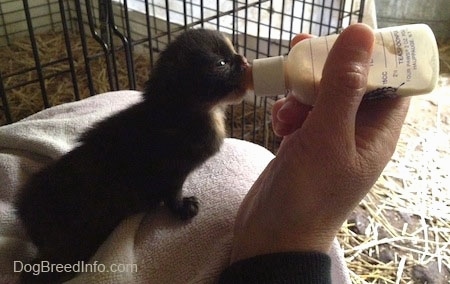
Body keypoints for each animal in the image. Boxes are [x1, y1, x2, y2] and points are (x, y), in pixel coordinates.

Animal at [16, 28, 250, 282]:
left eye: (234, 51)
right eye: (221, 63)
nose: (244, 60)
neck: (180, 111)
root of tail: (27, 213)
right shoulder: (171, 171)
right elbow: (172, 194)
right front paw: (184, 208)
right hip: (71, 243)